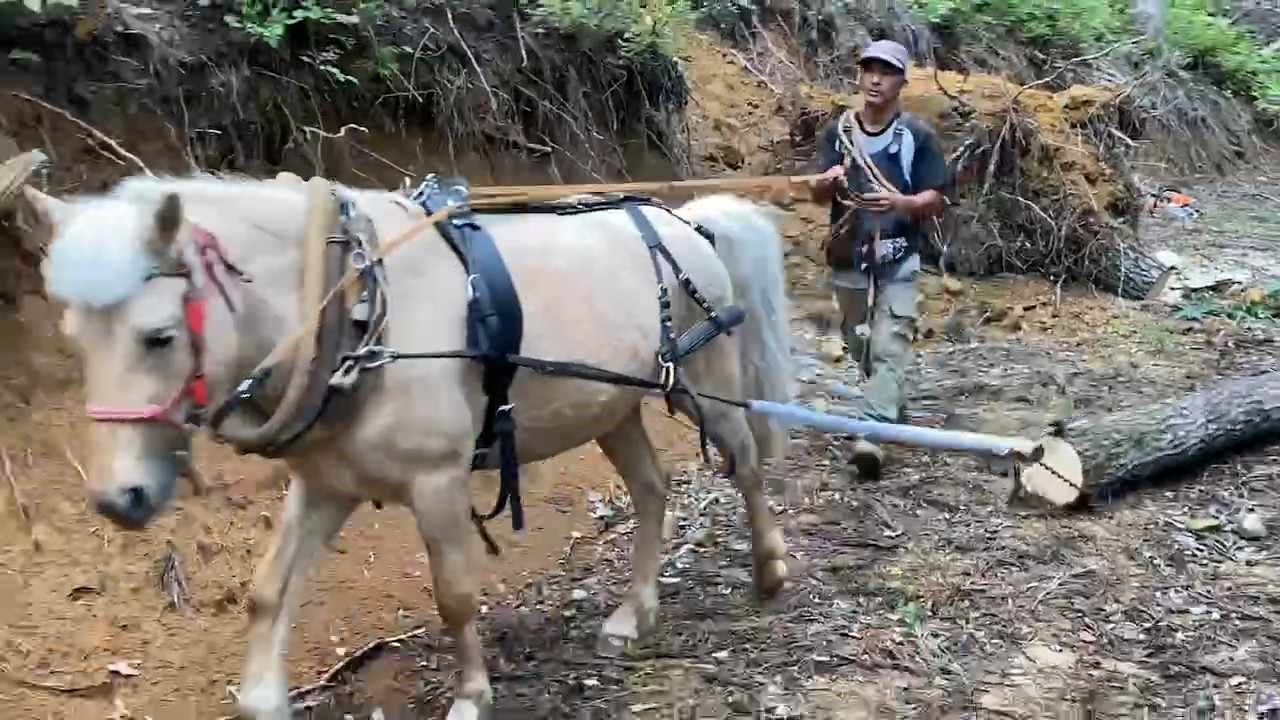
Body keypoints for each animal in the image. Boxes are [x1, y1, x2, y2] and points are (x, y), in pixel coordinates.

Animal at [24, 169, 793, 717]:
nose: (119, 498)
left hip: (705, 382)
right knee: (651, 490)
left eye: (158, 336)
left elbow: (454, 595)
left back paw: (770, 570)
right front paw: (263, 697)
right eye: (74, 340)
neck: (354, 307)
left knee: (748, 464)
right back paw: (634, 612)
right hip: (612, 407)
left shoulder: (437, 481)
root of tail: (687, 221)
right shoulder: (325, 484)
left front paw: (472, 696)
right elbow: (269, 591)